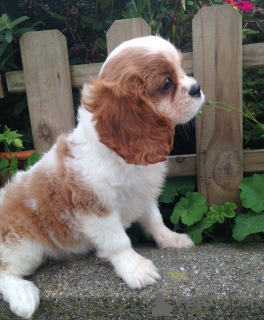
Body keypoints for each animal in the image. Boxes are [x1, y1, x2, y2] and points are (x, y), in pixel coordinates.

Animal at [0, 35, 204, 318]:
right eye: (166, 84)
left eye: (183, 70)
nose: (197, 88)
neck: (122, 157)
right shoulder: (95, 207)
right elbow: (119, 241)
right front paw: (136, 269)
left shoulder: (142, 196)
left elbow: (155, 220)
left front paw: (170, 239)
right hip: (23, 244)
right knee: (5, 271)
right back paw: (23, 294)